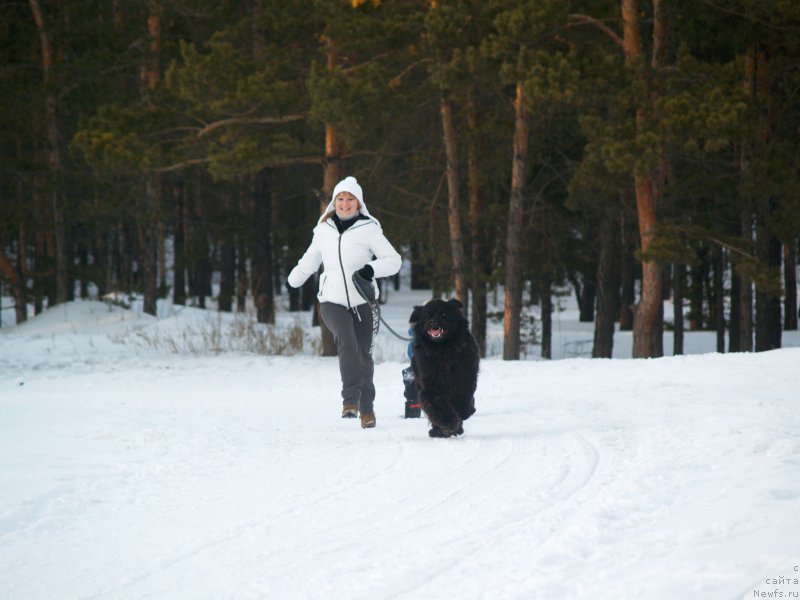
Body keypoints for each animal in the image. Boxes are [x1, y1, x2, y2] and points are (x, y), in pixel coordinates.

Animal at [410, 298, 478, 436]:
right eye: (428, 316)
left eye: (443, 314)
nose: (433, 321)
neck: (443, 350)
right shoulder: (430, 385)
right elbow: (438, 405)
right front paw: (449, 422)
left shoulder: (466, 377)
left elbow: (463, 397)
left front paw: (464, 413)